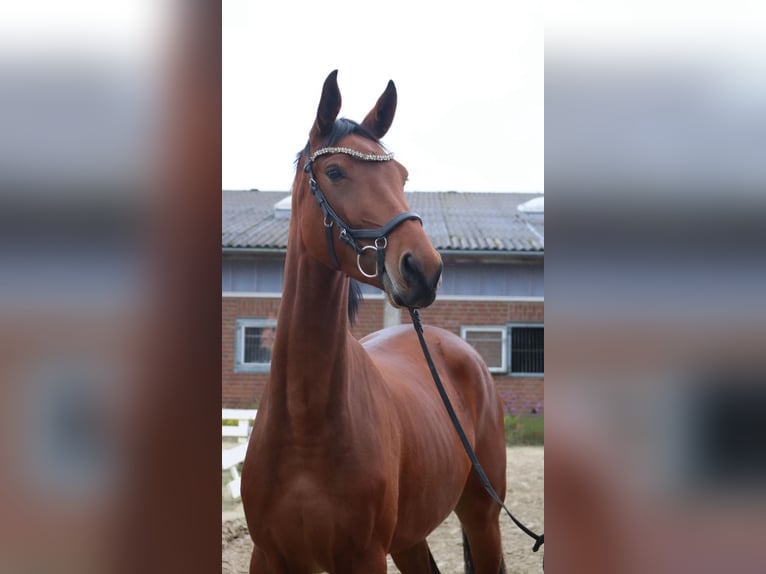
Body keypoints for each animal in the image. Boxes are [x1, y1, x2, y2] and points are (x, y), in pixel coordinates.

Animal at [241, 70, 508, 574]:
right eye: (335, 172)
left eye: (401, 175)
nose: (424, 269)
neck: (305, 424)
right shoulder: (269, 557)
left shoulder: (364, 557)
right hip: (409, 538)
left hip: (482, 514)